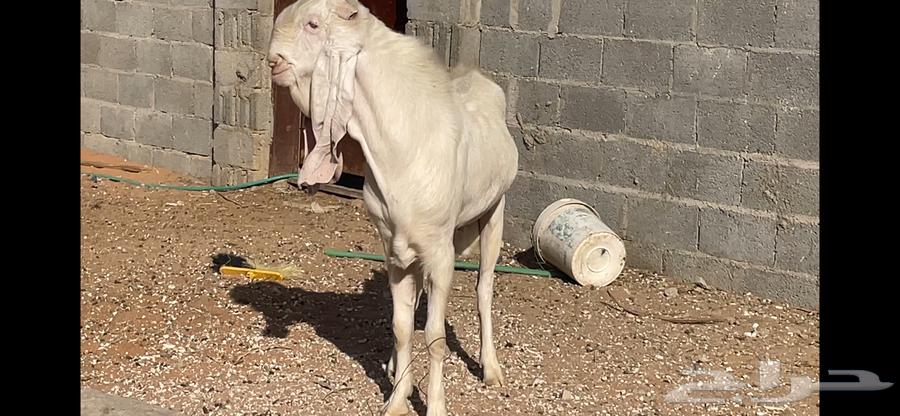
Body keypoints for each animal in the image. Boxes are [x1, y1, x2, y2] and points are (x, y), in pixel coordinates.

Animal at [267, 1, 518, 414]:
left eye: (313, 24)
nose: (274, 61)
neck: (402, 145)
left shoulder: (440, 252)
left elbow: (435, 337)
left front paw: (435, 406)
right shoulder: (392, 246)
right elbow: (402, 327)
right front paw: (398, 398)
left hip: (493, 211)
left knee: (483, 289)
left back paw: (491, 369)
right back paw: (393, 367)